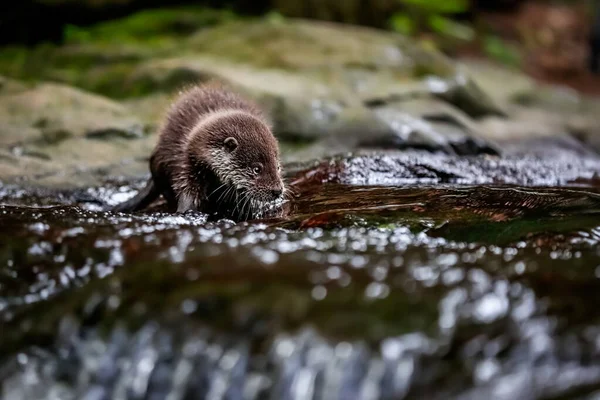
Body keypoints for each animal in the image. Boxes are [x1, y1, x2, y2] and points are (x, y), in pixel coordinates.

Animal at [112, 84, 286, 220]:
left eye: (277, 167)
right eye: (256, 169)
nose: (277, 191)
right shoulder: (187, 160)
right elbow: (187, 188)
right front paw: (185, 212)